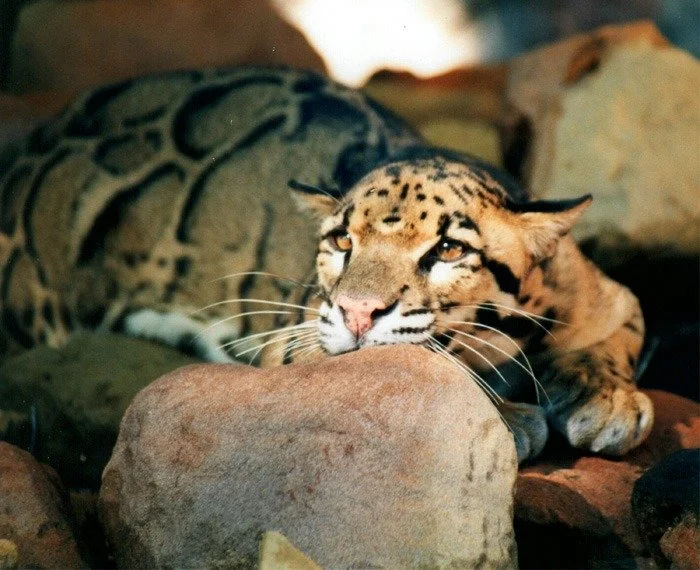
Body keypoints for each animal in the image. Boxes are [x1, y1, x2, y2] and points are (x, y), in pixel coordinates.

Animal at [0, 66, 652, 462]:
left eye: (448, 250)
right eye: (342, 242)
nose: (358, 313)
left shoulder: (605, 295)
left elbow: (619, 331)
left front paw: (611, 397)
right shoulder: (299, 337)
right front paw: (509, 416)